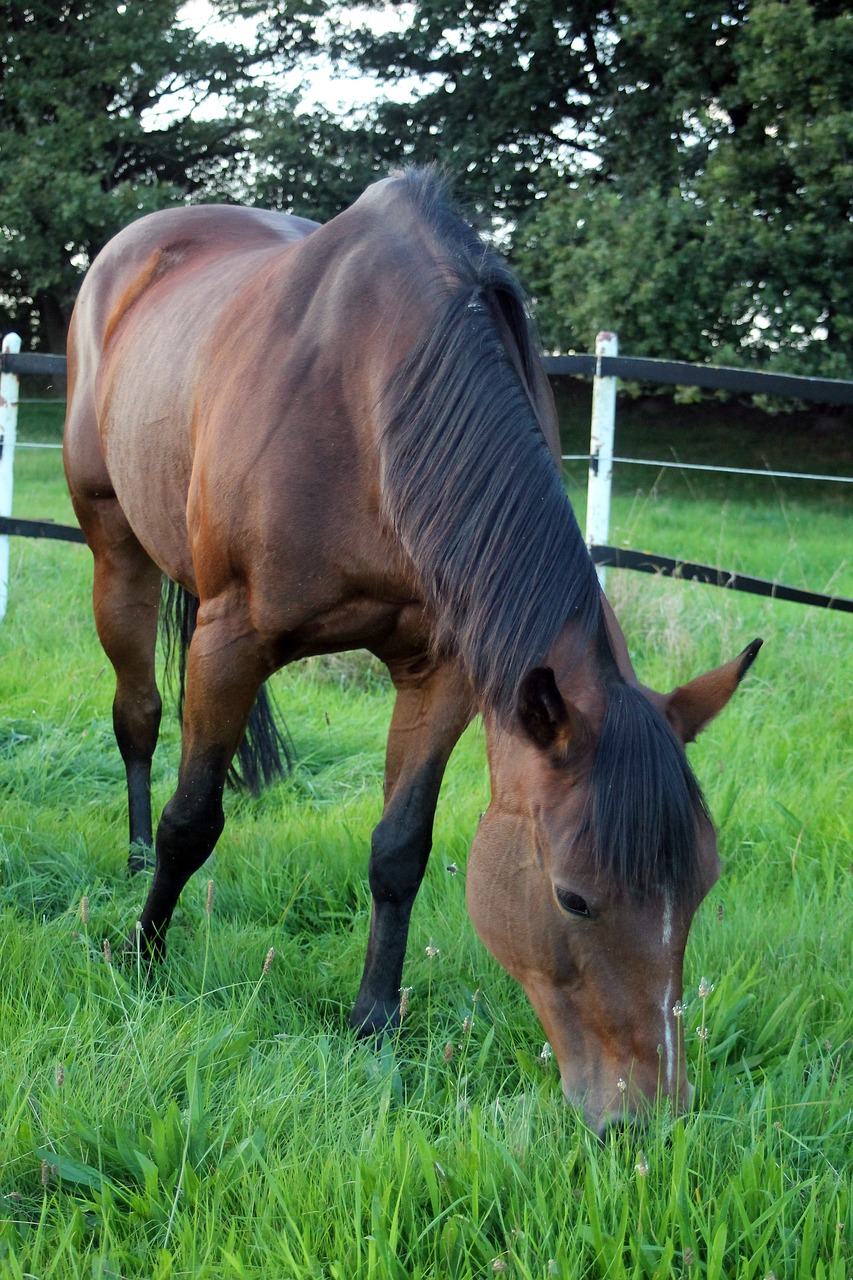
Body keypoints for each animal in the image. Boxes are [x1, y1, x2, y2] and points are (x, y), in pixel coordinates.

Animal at [63, 167, 758, 1131]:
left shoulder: (448, 673)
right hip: (114, 546)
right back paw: (131, 860)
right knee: (138, 714)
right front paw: (143, 954)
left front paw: (373, 1020)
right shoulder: (231, 638)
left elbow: (401, 849)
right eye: (572, 898)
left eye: (700, 885)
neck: (376, 399)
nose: (647, 1119)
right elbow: (192, 820)